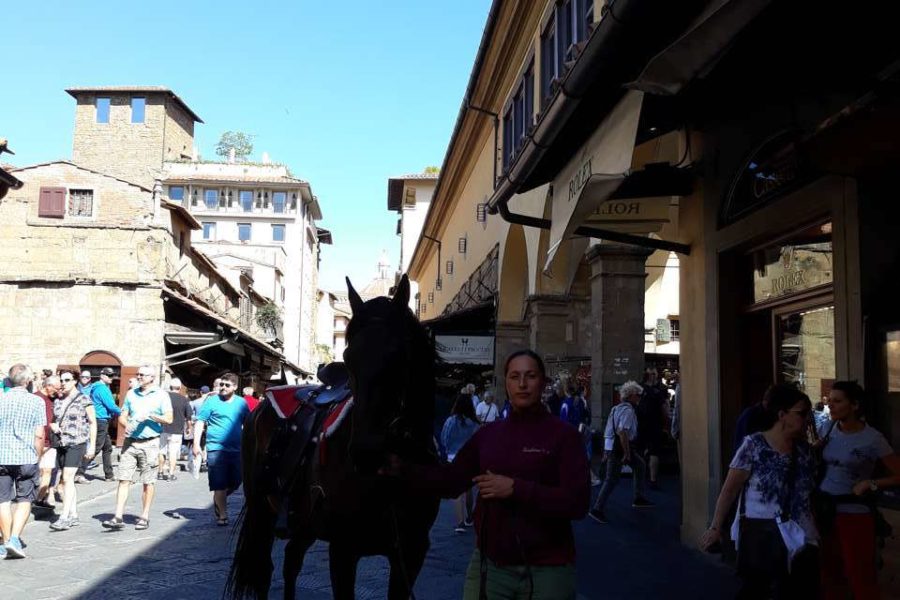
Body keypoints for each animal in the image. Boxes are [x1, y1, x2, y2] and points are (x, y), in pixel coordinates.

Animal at [227, 274, 442, 596]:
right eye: (349, 357)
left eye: (400, 355)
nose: (366, 451)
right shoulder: (343, 550)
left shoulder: (411, 553)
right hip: (260, 510)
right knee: (265, 571)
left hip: (301, 522)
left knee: (291, 561)